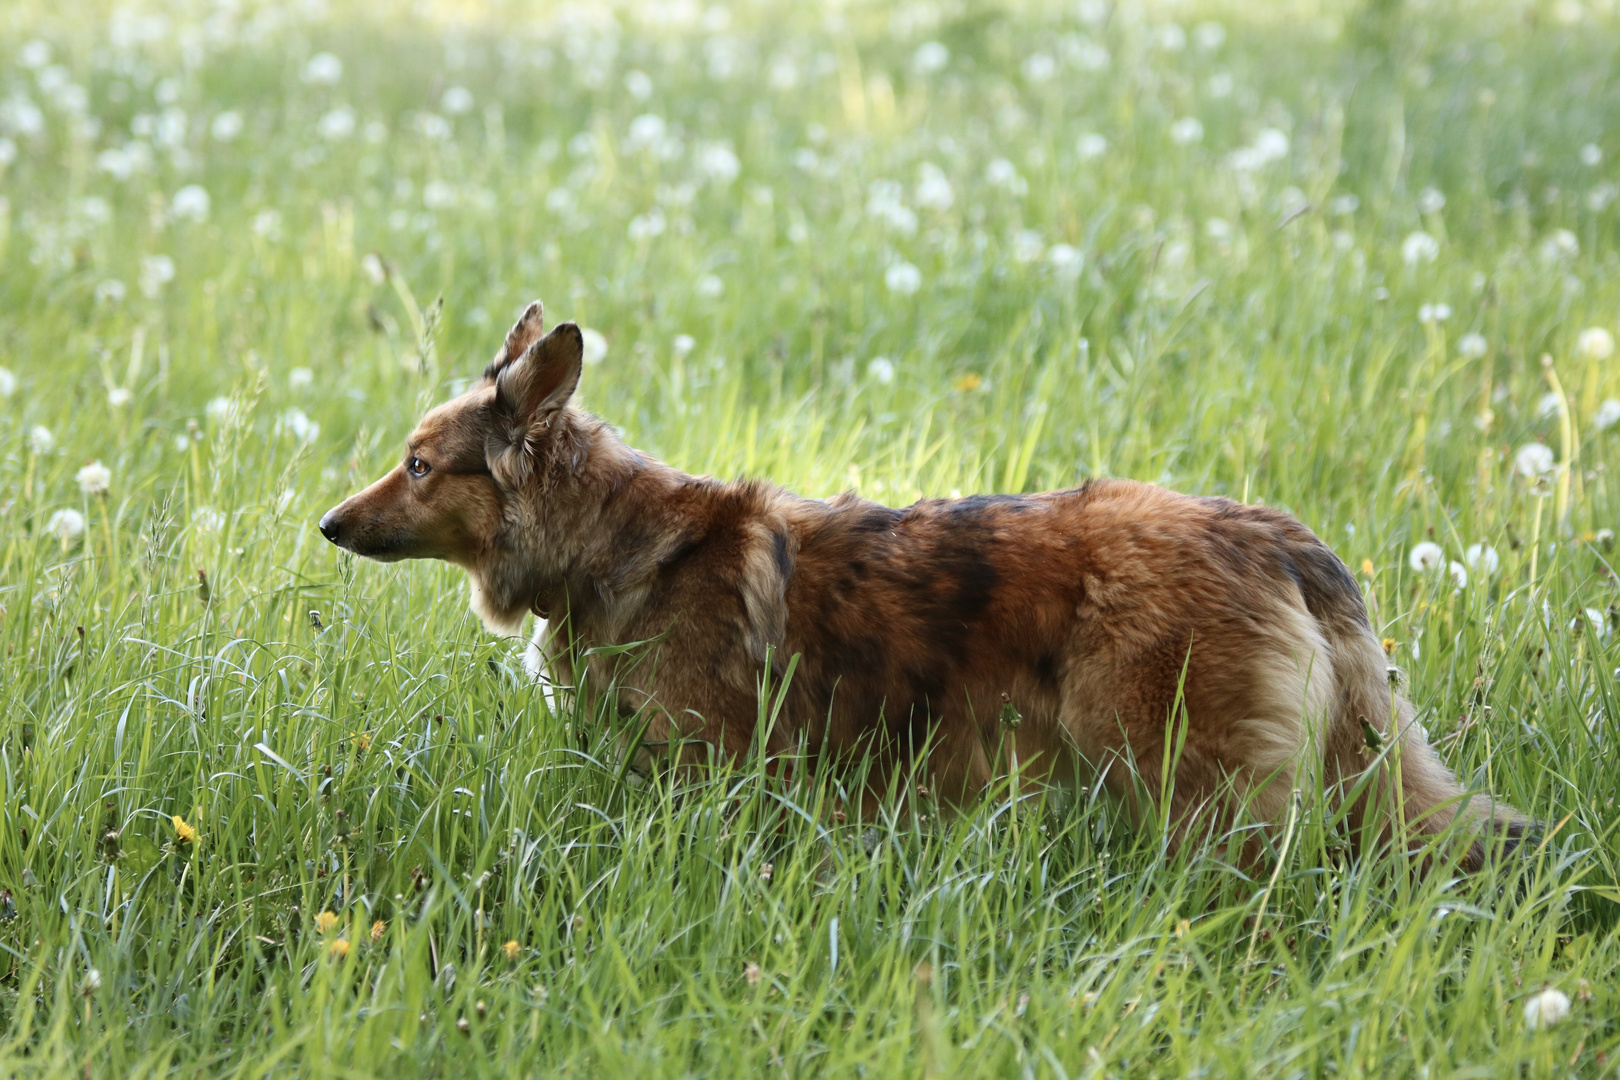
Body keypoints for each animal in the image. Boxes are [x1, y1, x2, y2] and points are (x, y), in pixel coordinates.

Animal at [322, 299, 1522, 867]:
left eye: (419, 464)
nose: (326, 525)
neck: (614, 544)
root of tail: (1278, 535)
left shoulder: (710, 770)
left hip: (1196, 783)